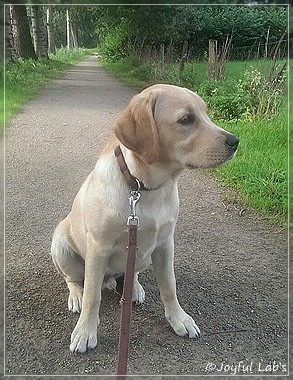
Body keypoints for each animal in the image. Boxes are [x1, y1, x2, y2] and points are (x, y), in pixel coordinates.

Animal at [49, 84, 237, 354]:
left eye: (206, 114)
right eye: (186, 119)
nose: (235, 141)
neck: (143, 186)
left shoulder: (166, 243)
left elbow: (169, 287)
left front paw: (179, 319)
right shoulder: (98, 248)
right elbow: (92, 296)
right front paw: (85, 332)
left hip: (143, 253)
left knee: (131, 273)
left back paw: (134, 287)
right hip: (61, 242)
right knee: (74, 279)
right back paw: (76, 295)